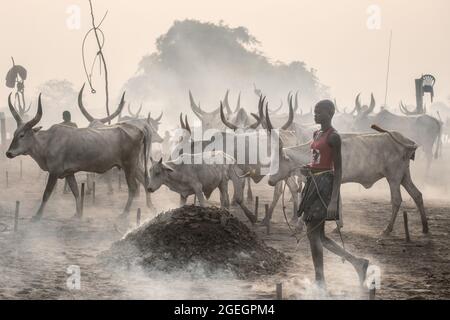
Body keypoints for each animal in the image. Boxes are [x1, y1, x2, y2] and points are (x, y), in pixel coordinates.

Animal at [5, 91, 151, 219]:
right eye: (14, 134)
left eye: (22, 135)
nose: (8, 153)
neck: (48, 141)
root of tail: (140, 130)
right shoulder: (69, 173)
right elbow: (75, 192)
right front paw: (78, 213)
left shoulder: (54, 172)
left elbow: (46, 194)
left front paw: (37, 216)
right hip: (135, 165)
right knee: (144, 182)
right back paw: (150, 206)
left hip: (129, 165)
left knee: (133, 187)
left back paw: (125, 213)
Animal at [268, 122, 428, 235]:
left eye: (278, 163)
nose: (270, 181)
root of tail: (405, 140)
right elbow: (338, 202)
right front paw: (338, 225)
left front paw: (299, 226)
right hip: (404, 176)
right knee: (417, 195)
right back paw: (425, 227)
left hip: (393, 177)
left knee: (396, 200)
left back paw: (387, 229)